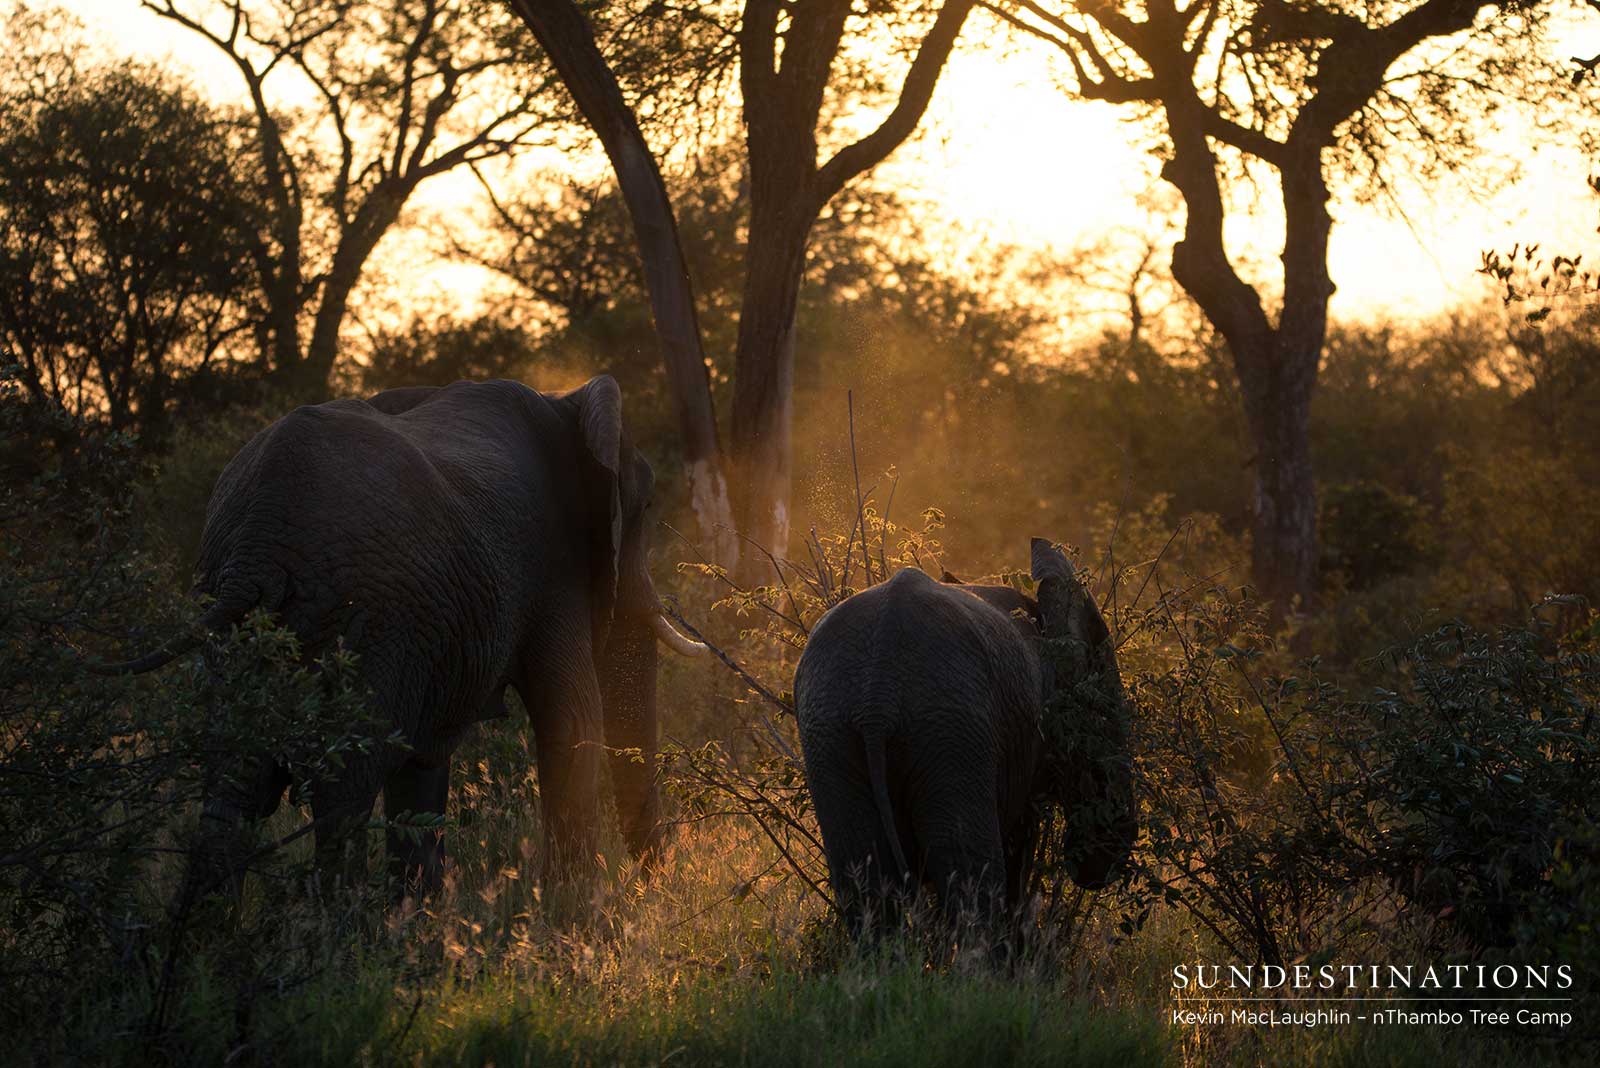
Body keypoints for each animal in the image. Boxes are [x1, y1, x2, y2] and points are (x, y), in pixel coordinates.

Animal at [98, 378, 700, 895]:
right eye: (647, 506)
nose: (658, 891)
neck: (565, 402)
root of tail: (258, 546)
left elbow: (423, 765)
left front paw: (419, 935)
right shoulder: (552, 571)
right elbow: (572, 722)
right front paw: (575, 925)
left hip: (236, 612)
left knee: (234, 790)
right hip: (364, 623)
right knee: (340, 797)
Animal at [793, 537, 1132, 927]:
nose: (1097, 869)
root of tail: (877, 698)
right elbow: (1020, 842)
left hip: (831, 729)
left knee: (863, 878)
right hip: (951, 728)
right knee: (970, 874)